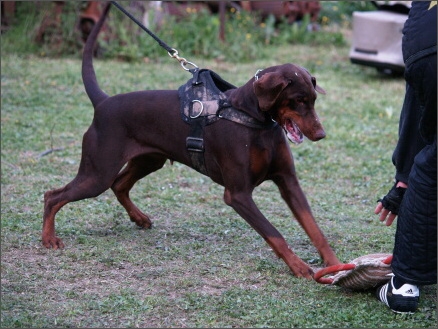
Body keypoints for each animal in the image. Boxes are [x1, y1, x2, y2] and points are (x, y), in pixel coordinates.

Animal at [41, 3, 340, 278]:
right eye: (297, 100)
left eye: (313, 99)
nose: (321, 134)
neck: (253, 119)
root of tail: (102, 102)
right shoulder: (238, 194)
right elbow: (274, 233)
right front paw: (298, 266)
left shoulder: (287, 181)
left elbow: (314, 228)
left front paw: (334, 264)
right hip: (97, 173)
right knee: (53, 195)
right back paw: (49, 239)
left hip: (149, 160)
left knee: (119, 184)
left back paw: (139, 218)